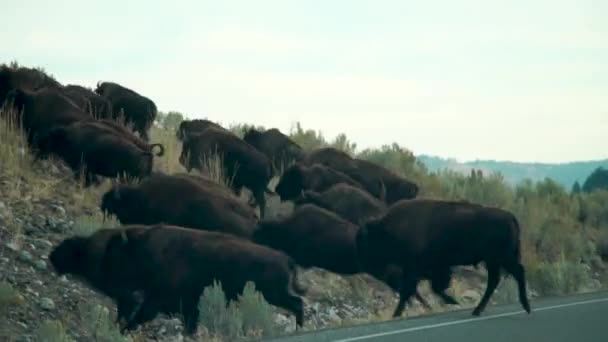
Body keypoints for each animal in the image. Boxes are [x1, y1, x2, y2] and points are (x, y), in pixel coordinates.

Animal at [49, 224, 306, 334]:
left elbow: (137, 317)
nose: (55, 256)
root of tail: (287, 258)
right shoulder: (185, 309)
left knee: (298, 304)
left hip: (274, 294)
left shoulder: (155, 302)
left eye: (105, 253)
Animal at [254, 204, 430, 308]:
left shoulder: (301, 258)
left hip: (389, 276)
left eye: (260, 233)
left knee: (409, 290)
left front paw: (301, 288)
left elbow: (295, 271)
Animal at [354, 199, 528, 320]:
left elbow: (409, 289)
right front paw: (452, 301)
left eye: (364, 241)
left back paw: (526, 307)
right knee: (494, 281)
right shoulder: (432, 268)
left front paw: (396, 314)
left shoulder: (415, 267)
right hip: (493, 261)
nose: (363, 262)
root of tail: (510, 217)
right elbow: (432, 287)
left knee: (517, 272)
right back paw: (477, 310)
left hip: (502, 258)